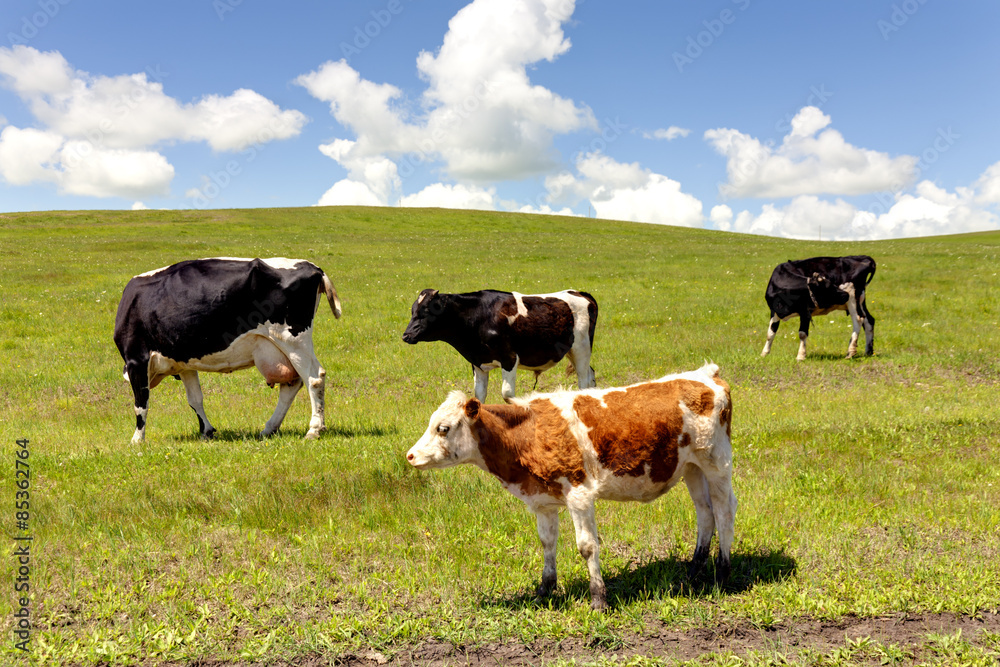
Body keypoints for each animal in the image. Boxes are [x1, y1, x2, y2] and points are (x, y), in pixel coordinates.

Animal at [114, 260, 344, 444]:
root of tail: (313, 267)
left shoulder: (137, 359)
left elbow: (141, 402)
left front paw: (137, 439)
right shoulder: (185, 363)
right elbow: (195, 398)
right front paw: (206, 431)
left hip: (294, 341)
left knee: (314, 378)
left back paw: (314, 430)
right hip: (281, 348)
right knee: (292, 384)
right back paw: (269, 428)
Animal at [402, 288, 596, 402]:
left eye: (427, 310)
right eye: (412, 311)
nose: (406, 335)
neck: (479, 316)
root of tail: (580, 293)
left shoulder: (509, 358)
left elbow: (508, 394)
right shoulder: (477, 362)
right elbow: (479, 396)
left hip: (581, 349)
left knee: (583, 381)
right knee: (591, 375)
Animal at [404, 366, 736, 612]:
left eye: (443, 428)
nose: (410, 455)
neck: (528, 433)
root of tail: (707, 374)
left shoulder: (580, 495)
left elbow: (587, 546)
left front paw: (598, 600)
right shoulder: (543, 501)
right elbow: (547, 543)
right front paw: (544, 591)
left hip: (716, 462)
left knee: (724, 511)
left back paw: (722, 574)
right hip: (691, 467)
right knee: (705, 513)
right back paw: (692, 572)